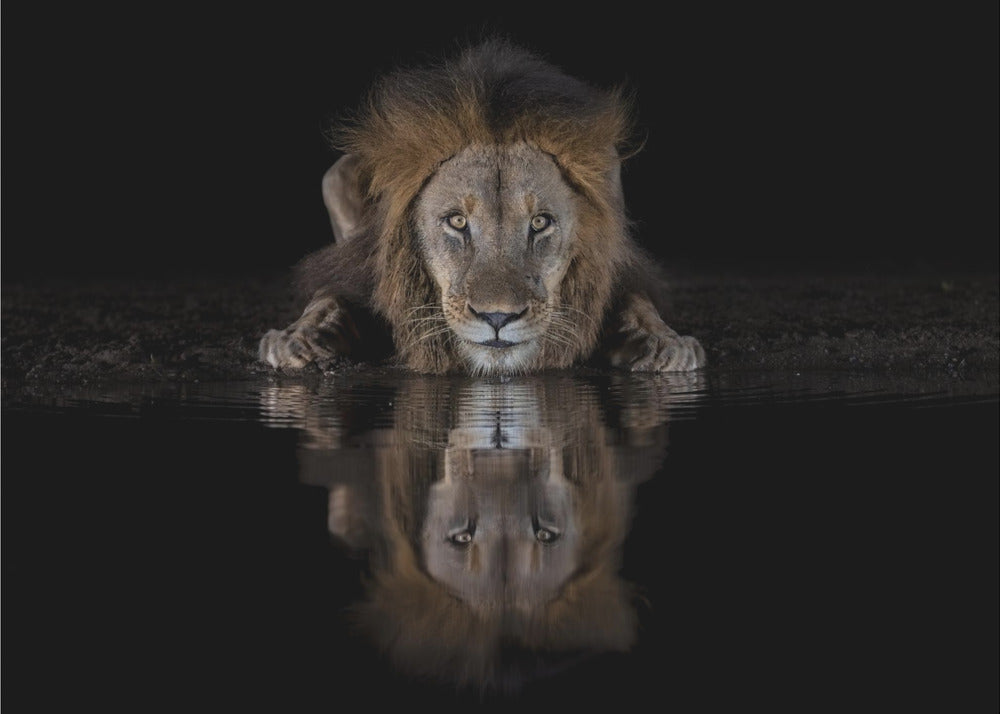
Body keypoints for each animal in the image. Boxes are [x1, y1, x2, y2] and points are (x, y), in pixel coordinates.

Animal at [259, 40, 705, 376]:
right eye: (457, 221)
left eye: (540, 222)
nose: (497, 318)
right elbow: (329, 294)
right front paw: (298, 338)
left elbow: (636, 301)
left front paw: (664, 342)